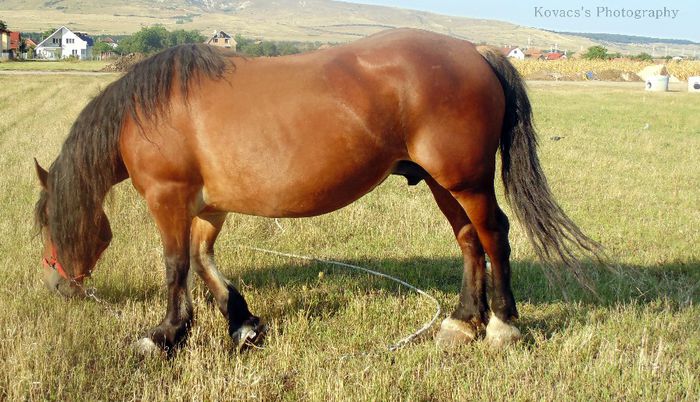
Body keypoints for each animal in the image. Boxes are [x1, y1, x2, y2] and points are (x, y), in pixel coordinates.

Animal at [34, 29, 600, 354]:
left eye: (48, 224)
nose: (57, 286)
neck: (147, 112)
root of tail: (476, 52)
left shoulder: (168, 198)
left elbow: (175, 266)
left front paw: (165, 335)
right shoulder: (209, 206)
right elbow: (202, 259)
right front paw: (242, 324)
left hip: (467, 180)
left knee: (494, 236)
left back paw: (502, 325)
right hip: (444, 183)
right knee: (468, 241)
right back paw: (463, 323)